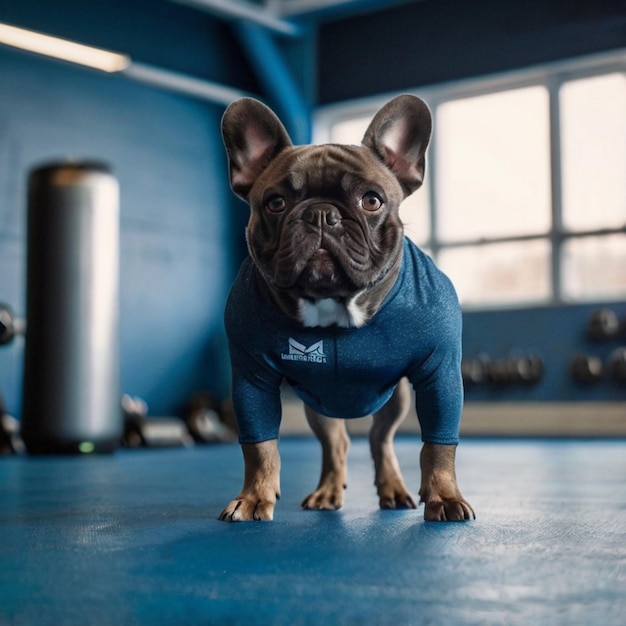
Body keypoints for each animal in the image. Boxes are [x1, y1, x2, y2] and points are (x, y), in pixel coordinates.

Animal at [218, 94, 472, 520]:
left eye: (371, 200)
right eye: (276, 203)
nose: (321, 213)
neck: (333, 305)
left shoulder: (440, 373)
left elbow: (438, 445)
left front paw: (444, 496)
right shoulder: (252, 379)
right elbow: (259, 446)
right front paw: (253, 496)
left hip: (396, 399)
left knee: (379, 439)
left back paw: (392, 489)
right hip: (318, 406)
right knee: (336, 444)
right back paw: (327, 492)